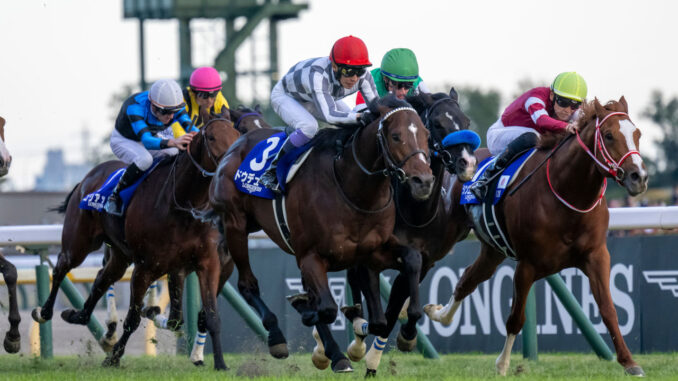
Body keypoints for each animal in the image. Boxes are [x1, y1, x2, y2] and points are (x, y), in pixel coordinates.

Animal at [31, 110, 242, 368]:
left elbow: (208, 316)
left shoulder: (209, 264)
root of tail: (86, 178)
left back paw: (78, 314)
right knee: (61, 267)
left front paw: (219, 363)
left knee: (102, 278)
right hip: (79, 243)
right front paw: (114, 357)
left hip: (119, 255)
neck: (182, 205)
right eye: (211, 137)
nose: (231, 168)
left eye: (237, 135)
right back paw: (44, 312)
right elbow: (132, 318)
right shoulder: (146, 267)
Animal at [206, 95, 436, 372]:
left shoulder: (372, 250)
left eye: (426, 134)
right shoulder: (311, 256)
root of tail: (235, 145)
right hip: (236, 225)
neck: (352, 189)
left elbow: (408, 267)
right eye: (395, 136)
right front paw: (308, 313)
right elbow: (326, 308)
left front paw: (405, 331)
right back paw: (282, 339)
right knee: (247, 285)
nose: (423, 181)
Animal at [342, 89, 480, 374]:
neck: (414, 213)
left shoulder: (423, 259)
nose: (468, 163)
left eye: (466, 121)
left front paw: (403, 338)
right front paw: (362, 345)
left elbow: (397, 306)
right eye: (437, 124)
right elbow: (378, 307)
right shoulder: (371, 259)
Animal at [428, 96, 652, 376]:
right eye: (609, 135)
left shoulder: (596, 256)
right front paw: (502, 365)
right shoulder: (528, 265)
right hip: (446, 235)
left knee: (466, 281)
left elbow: (609, 310)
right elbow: (516, 318)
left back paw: (439, 314)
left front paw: (630, 362)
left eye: (638, 133)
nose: (639, 177)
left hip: (492, 250)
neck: (568, 193)